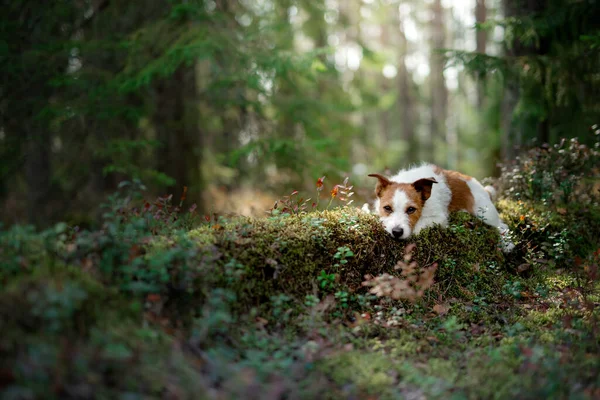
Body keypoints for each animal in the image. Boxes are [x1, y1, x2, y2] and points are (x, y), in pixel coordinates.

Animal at [366, 163, 516, 253]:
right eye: (387, 208)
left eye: (411, 210)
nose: (397, 232)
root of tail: (483, 189)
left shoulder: (437, 217)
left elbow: (420, 226)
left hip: (484, 212)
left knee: (502, 226)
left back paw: (507, 244)